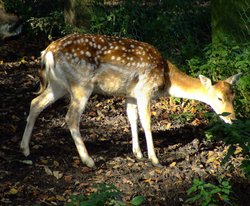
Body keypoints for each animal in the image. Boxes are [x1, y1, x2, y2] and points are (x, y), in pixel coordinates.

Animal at [21, 33, 240, 167]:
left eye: (234, 96)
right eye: (219, 98)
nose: (233, 119)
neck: (166, 79)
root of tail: (48, 52)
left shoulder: (130, 94)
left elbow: (132, 119)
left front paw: (137, 153)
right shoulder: (144, 90)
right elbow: (147, 122)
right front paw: (154, 159)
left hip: (57, 84)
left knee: (35, 103)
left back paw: (25, 149)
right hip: (80, 84)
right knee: (71, 117)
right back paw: (88, 160)